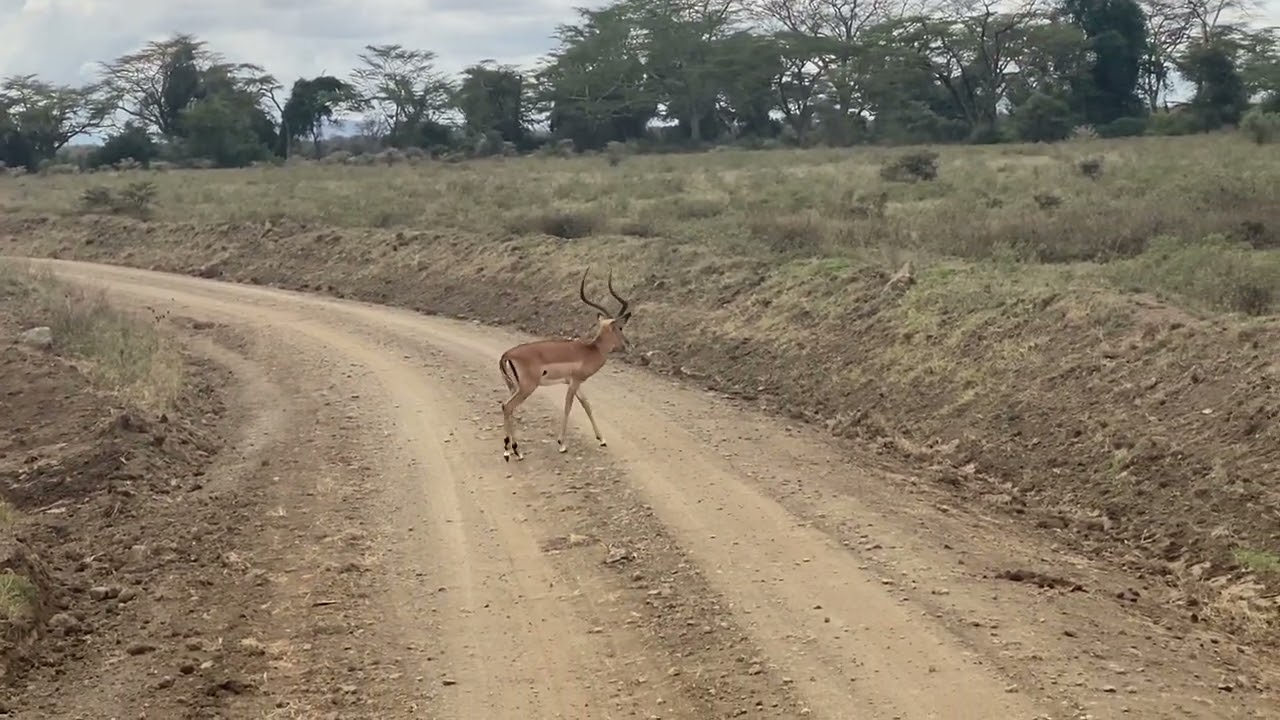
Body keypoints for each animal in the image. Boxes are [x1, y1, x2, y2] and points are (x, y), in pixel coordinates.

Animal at [498, 267, 632, 462]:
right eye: (620, 327)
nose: (628, 344)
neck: (590, 350)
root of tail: (507, 354)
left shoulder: (575, 382)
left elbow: (587, 405)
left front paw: (601, 439)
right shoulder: (574, 381)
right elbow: (568, 407)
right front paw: (562, 444)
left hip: (514, 387)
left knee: (509, 408)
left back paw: (514, 450)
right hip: (527, 388)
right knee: (507, 406)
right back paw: (512, 451)